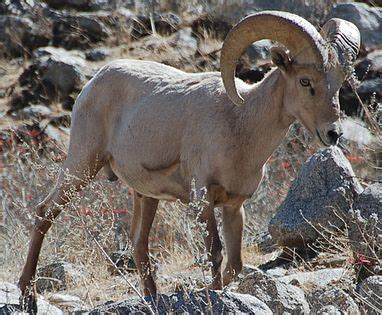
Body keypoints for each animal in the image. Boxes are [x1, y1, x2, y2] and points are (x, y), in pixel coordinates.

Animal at [17, 10, 360, 312]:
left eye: (338, 82)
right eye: (305, 81)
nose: (333, 133)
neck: (241, 125)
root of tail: (94, 82)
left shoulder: (234, 206)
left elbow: (235, 264)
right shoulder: (203, 199)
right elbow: (215, 254)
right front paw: (214, 296)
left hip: (145, 196)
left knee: (139, 245)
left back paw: (151, 300)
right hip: (82, 165)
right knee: (45, 213)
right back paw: (26, 298)